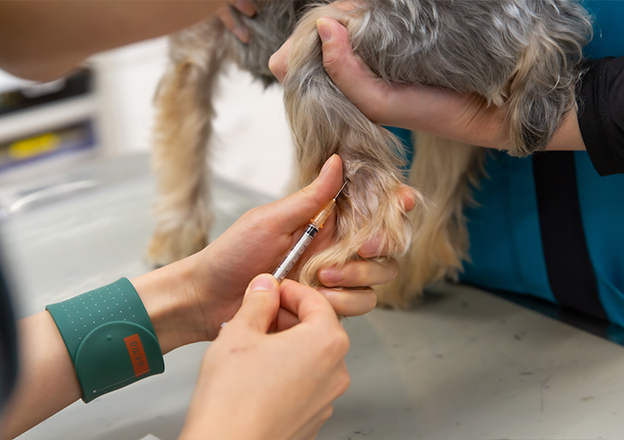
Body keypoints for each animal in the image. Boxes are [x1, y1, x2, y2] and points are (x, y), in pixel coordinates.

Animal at [145, 0, 588, 308]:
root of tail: (544, 24)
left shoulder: (193, 48)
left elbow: (182, 145)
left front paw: (174, 239)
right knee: (440, 184)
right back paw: (400, 282)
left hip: (349, 28)